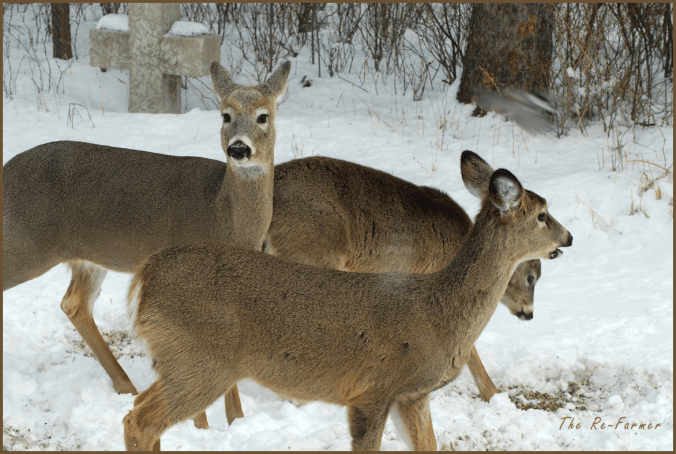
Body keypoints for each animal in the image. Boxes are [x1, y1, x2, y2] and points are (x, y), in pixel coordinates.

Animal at [2, 61, 291, 431]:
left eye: (263, 116)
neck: (221, 212)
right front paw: (202, 427)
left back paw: (126, 386)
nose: (239, 149)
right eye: (225, 115)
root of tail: (5, 172)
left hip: (88, 257)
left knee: (74, 304)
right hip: (25, 244)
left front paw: (236, 421)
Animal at [123, 150, 572, 451]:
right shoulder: (372, 389)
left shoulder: (411, 395)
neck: (439, 312)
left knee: (139, 414)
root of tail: (145, 278)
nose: (568, 238)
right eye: (542, 215)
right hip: (201, 362)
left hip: (182, 361)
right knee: (139, 420)